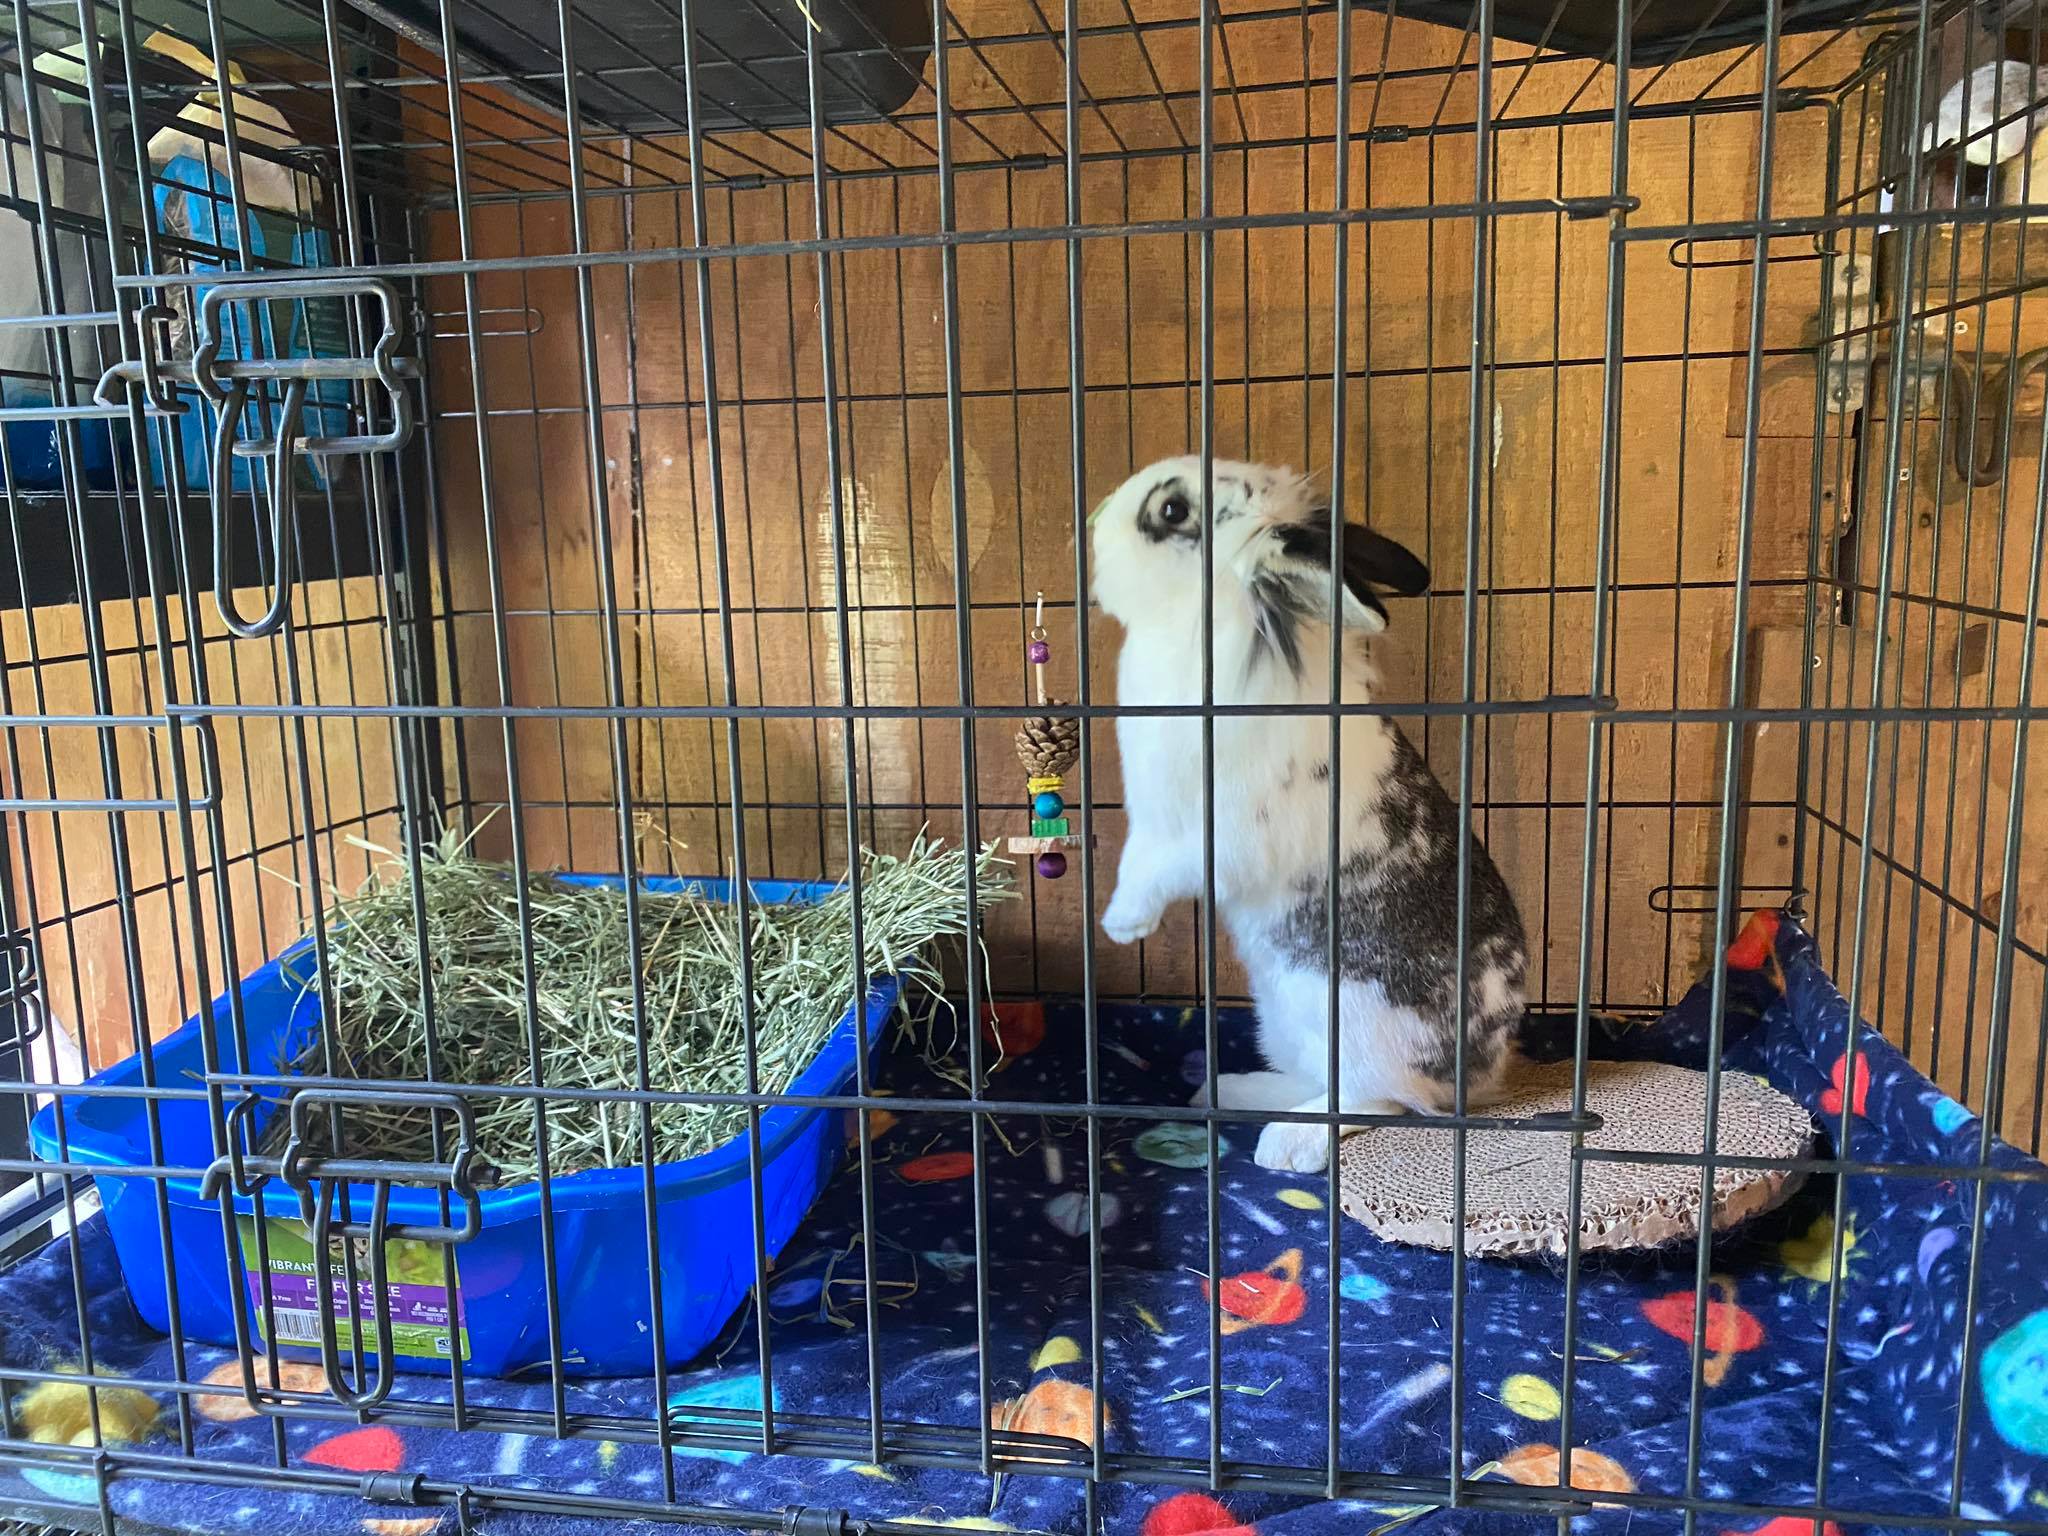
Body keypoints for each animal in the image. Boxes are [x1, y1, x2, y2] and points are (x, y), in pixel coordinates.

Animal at [1091, 455, 1528, 1173]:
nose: (1094, 530)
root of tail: (1482, 1074)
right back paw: (1230, 1089)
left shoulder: (1215, 835)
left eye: (1173, 511)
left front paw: (1122, 925)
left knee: (1376, 1099)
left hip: (1348, 1023)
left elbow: (1159, 871)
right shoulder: (1150, 824)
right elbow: (1137, 855)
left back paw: (1287, 1144)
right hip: (1282, 1017)